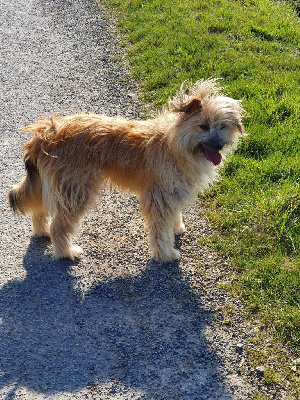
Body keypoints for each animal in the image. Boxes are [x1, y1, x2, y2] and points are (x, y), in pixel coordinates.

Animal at [8, 79, 244, 264]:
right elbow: (160, 229)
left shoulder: (172, 192)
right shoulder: (159, 196)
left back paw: (42, 231)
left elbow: (172, 216)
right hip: (76, 189)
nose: (219, 145)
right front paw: (166, 254)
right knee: (59, 225)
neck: (175, 144)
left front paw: (176, 227)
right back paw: (66, 252)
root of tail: (46, 132)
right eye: (203, 126)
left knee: (40, 208)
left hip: (50, 183)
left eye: (222, 126)